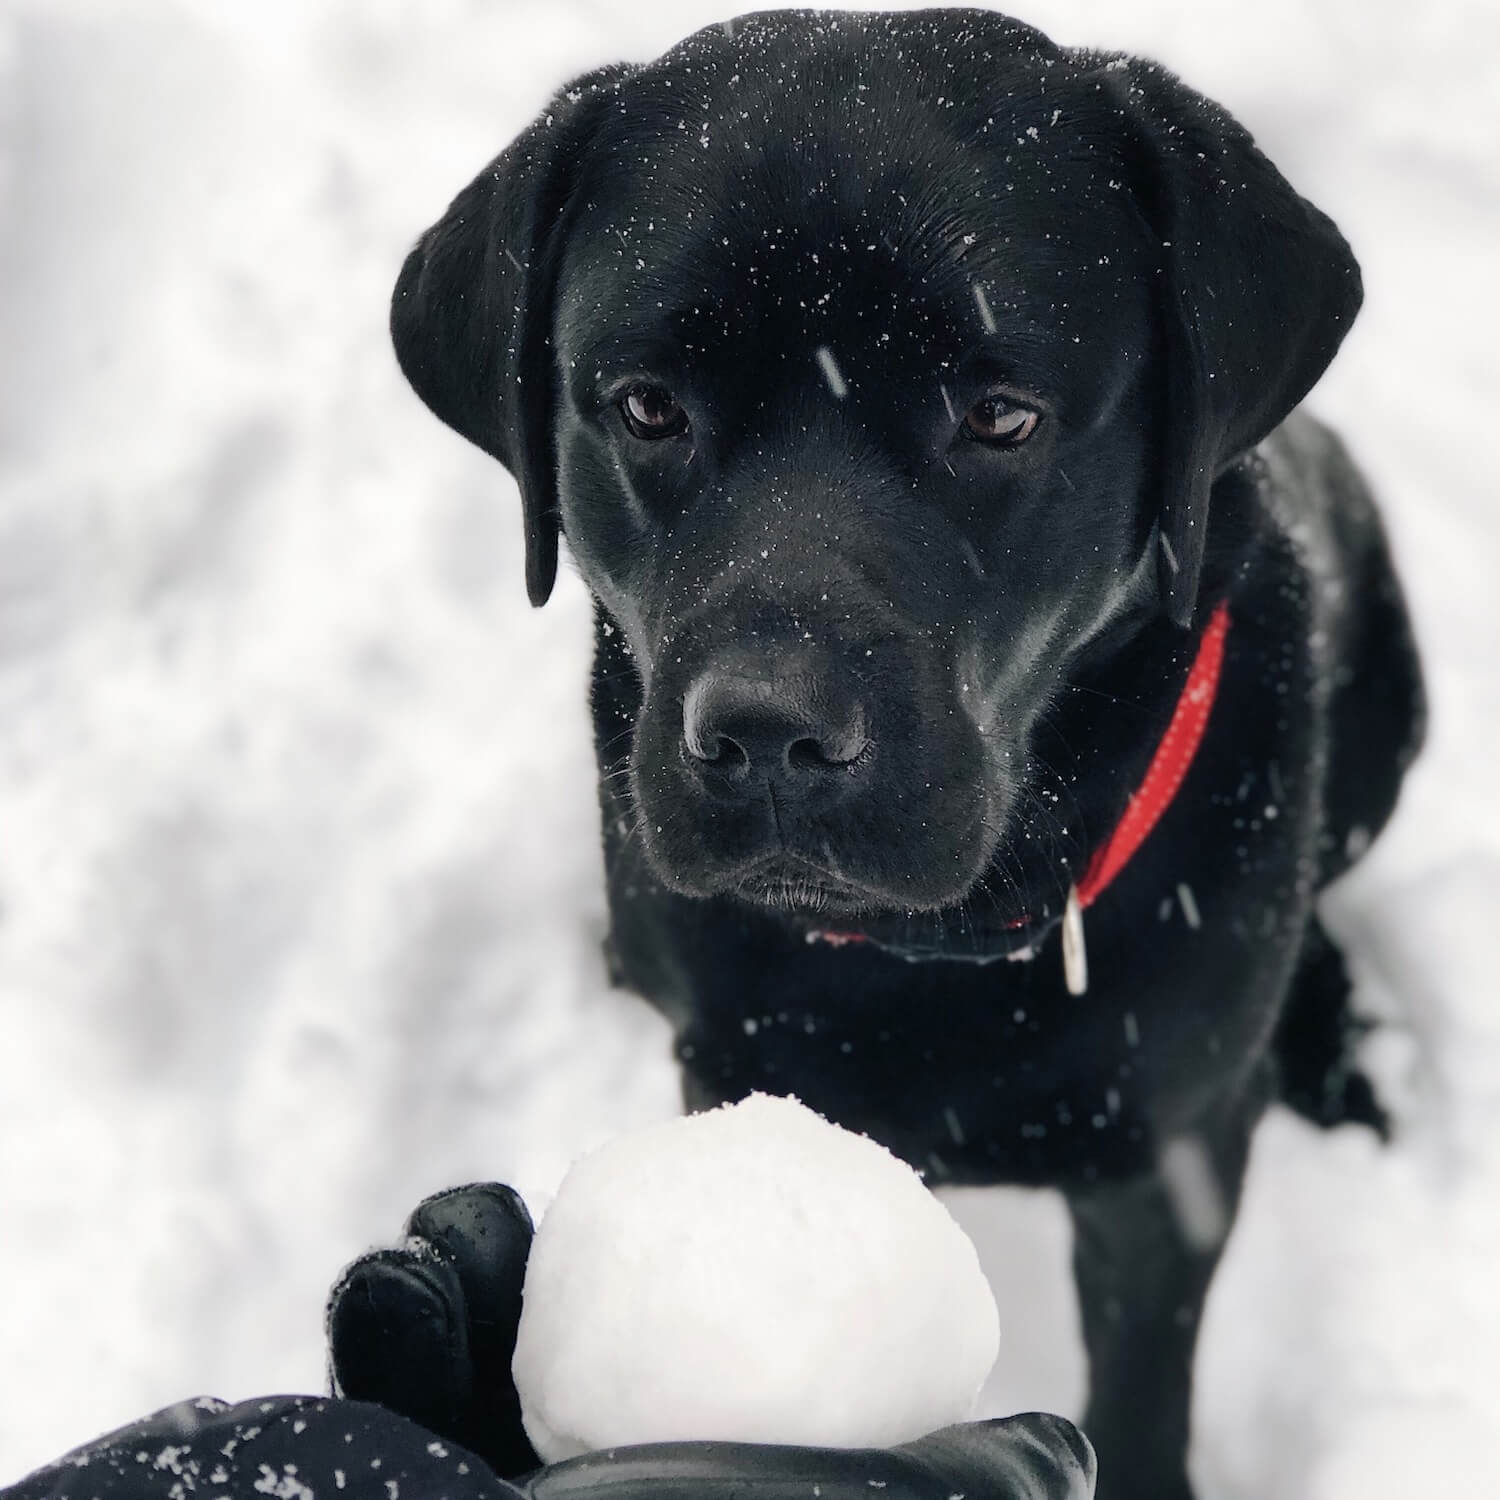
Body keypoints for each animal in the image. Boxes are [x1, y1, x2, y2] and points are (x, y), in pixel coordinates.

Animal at [387, 14, 1416, 1500]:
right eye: (645, 408)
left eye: (1000, 416)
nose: (767, 731)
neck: (931, 957)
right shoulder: (746, 1069)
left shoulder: (1168, 1164)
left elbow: (1144, 1379)